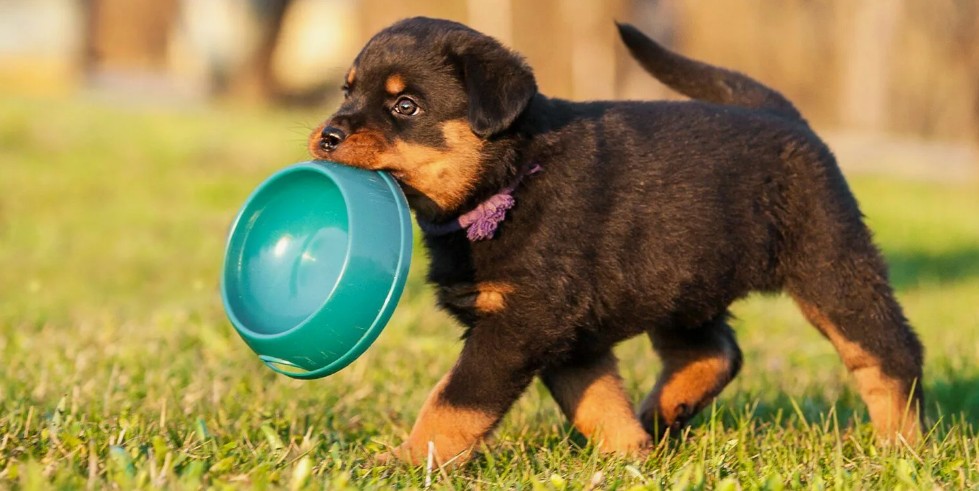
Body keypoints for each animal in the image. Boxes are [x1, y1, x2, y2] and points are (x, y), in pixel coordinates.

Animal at [308, 18, 928, 466]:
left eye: (405, 106)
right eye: (346, 91)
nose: (328, 135)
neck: (511, 178)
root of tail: (786, 115)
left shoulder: (522, 322)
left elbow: (454, 399)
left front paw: (406, 460)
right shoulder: (567, 332)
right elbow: (597, 400)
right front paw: (630, 455)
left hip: (831, 264)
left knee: (889, 353)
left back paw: (902, 446)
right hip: (684, 278)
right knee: (714, 350)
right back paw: (663, 413)